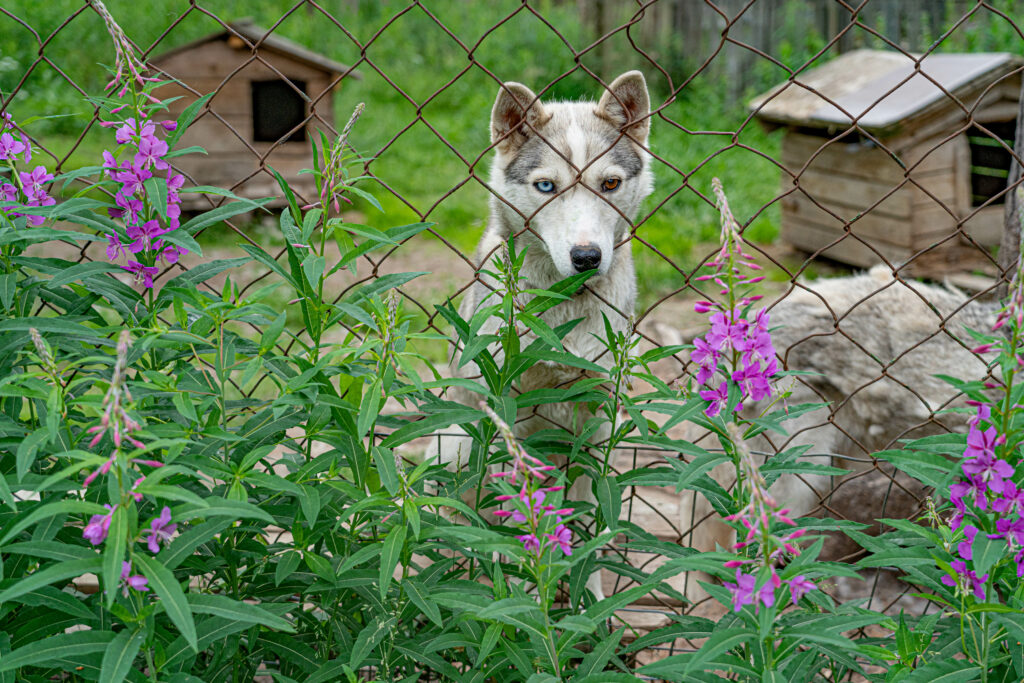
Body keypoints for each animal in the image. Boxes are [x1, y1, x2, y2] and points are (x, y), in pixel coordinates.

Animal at [425, 72, 651, 602]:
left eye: (609, 183)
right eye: (546, 186)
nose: (587, 257)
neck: (563, 309)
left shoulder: (599, 426)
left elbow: (590, 527)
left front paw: (589, 600)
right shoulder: (513, 420)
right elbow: (515, 521)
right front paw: (526, 596)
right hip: (456, 444)